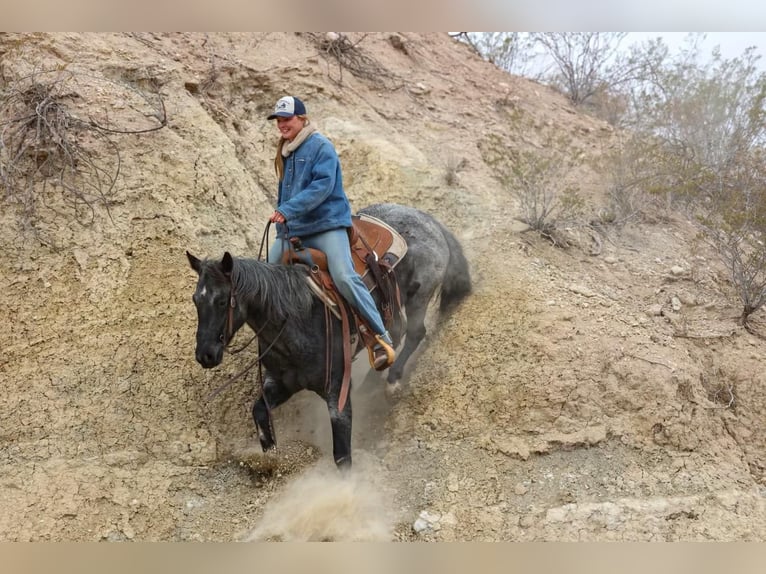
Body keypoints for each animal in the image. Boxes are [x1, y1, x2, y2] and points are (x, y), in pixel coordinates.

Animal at [186, 202, 471, 468]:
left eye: (222, 301)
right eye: (195, 300)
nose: (205, 355)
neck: (295, 321)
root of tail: (429, 219)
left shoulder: (337, 393)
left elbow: (342, 456)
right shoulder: (281, 383)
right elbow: (260, 414)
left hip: (419, 296)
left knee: (414, 332)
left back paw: (392, 380)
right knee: (396, 332)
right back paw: (373, 378)